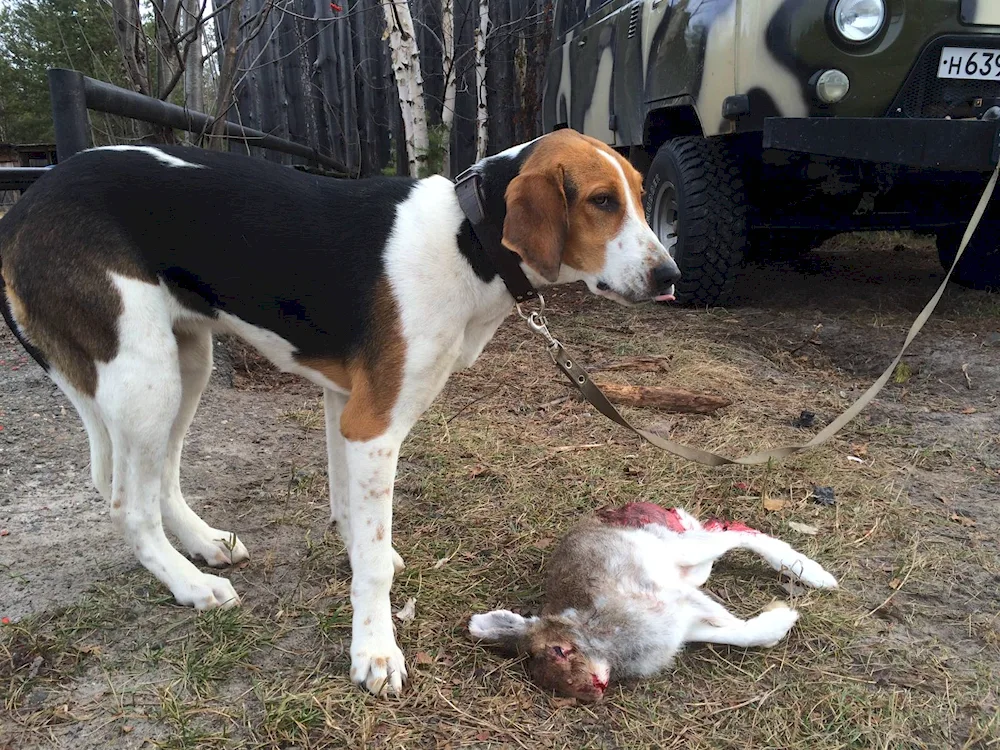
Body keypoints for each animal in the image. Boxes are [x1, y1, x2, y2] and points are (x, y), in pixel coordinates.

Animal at [0, 129, 680, 700]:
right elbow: (373, 562)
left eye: (641, 195)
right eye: (600, 201)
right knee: (128, 504)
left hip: (186, 360)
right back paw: (188, 583)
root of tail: (23, 205)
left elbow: (350, 512)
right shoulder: (373, 426)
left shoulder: (343, 407)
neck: (469, 240)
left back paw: (203, 544)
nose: (671, 276)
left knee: (161, 478)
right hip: (145, 375)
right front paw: (376, 649)